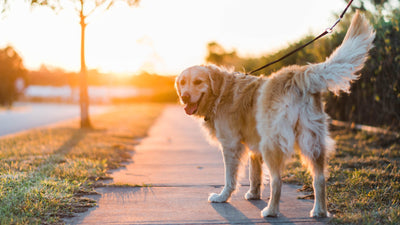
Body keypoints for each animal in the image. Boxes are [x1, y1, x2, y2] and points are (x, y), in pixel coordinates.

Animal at [175, 11, 376, 218]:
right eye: (182, 82)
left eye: (198, 82)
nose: (184, 96)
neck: (221, 92)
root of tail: (297, 74)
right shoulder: (253, 145)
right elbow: (255, 174)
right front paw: (254, 194)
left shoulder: (231, 144)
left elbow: (230, 177)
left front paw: (223, 197)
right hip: (312, 141)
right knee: (319, 178)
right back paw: (319, 211)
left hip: (272, 142)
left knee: (277, 180)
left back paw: (271, 211)